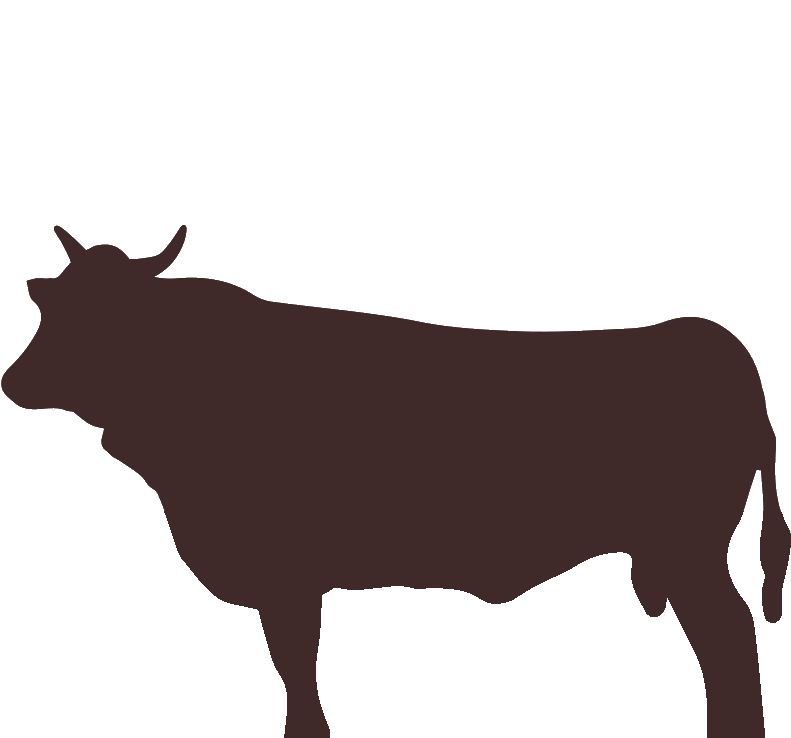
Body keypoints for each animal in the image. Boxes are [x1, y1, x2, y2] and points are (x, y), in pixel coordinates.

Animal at [2, 226, 787, 738]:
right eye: (52, 306)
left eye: (106, 315)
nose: (13, 382)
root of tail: (708, 335)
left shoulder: (288, 574)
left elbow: (295, 664)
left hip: (690, 550)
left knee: (728, 636)